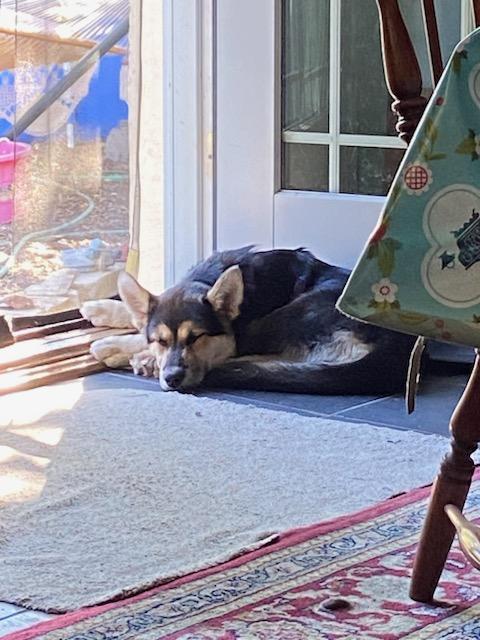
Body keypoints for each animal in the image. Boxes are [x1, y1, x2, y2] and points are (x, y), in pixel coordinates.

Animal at [82, 246, 416, 392]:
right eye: (161, 340)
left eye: (197, 337)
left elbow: (137, 336)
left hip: (282, 317)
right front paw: (100, 308)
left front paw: (111, 346)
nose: (173, 378)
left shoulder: (235, 334)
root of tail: (400, 346)